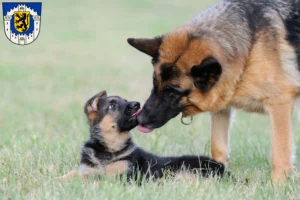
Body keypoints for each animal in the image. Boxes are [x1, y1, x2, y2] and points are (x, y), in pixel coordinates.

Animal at [58, 91, 224, 182]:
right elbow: (73, 173)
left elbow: (98, 180)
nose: (137, 104)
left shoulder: (123, 176)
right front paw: (58, 179)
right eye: (112, 105)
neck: (109, 148)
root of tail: (224, 169)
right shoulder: (86, 169)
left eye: (125, 101)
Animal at [127, 0, 300, 184]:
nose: (139, 119)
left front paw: (278, 185)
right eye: (155, 84)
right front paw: (217, 176)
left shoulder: (279, 105)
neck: (249, 49)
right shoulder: (221, 107)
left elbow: (280, 153)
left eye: (173, 92)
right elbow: (218, 147)